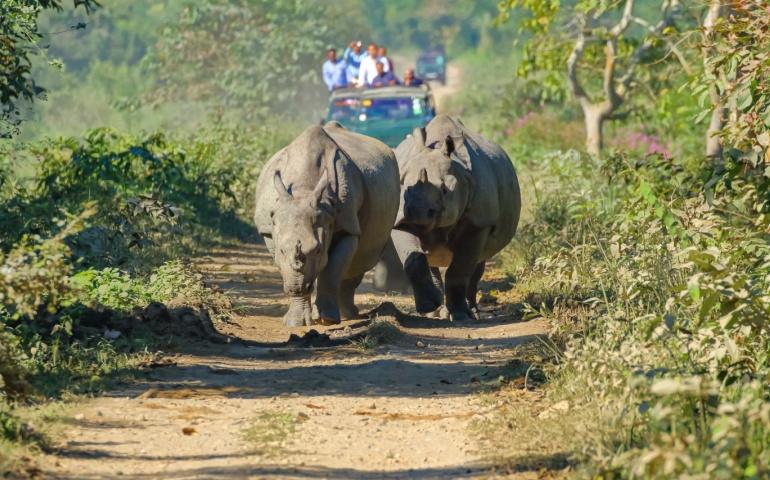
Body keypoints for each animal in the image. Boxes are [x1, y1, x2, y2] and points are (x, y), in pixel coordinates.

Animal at [254, 122, 400, 326]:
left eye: (317, 250)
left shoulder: (347, 226)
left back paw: (348, 314)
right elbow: (286, 267)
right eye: (282, 250)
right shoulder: (269, 230)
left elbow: (332, 270)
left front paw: (328, 320)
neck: (304, 188)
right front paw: (295, 323)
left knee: (359, 260)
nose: (296, 287)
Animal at [387, 114, 521, 322]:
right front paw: (427, 306)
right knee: (432, 261)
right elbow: (414, 260)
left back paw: (471, 313)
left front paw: (460, 315)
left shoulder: (479, 221)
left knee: (477, 264)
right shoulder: (400, 221)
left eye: (444, 190)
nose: (417, 214)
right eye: (405, 189)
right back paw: (435, 312)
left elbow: (459, 271)